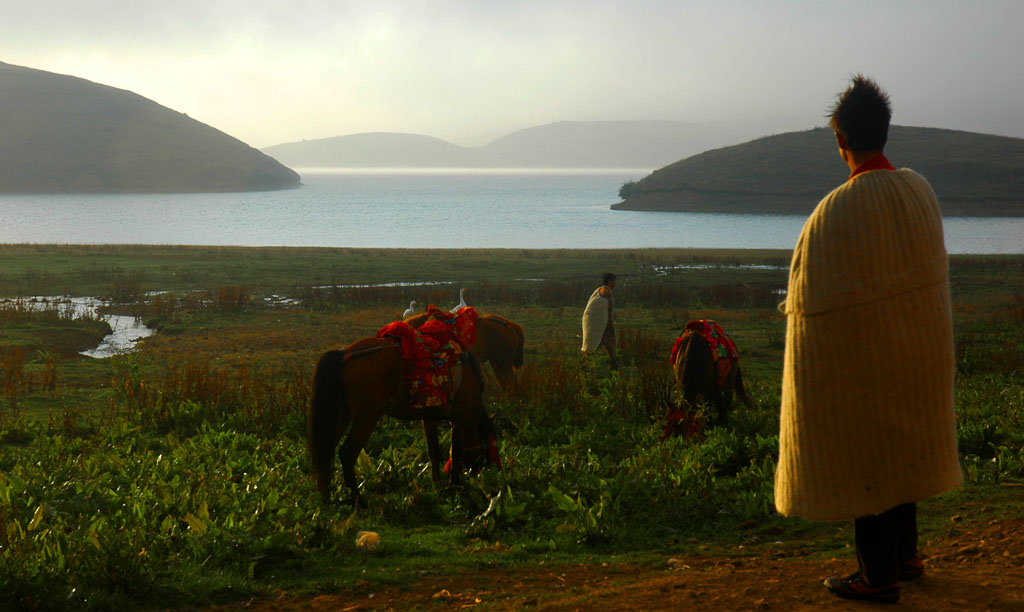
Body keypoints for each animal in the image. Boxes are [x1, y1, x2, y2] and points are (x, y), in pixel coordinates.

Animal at [305, 337, 493, 505]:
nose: (477, 472)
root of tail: (344, 355)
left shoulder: (430, 418)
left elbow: (434, 451)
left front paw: (437, 485)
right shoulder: (460, 415)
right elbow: (455, 450)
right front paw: (454, 485)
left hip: (341, 415)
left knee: (325, 451)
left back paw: (326, 498)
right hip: (366, 418)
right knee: (347, 453)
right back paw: (358, 499)